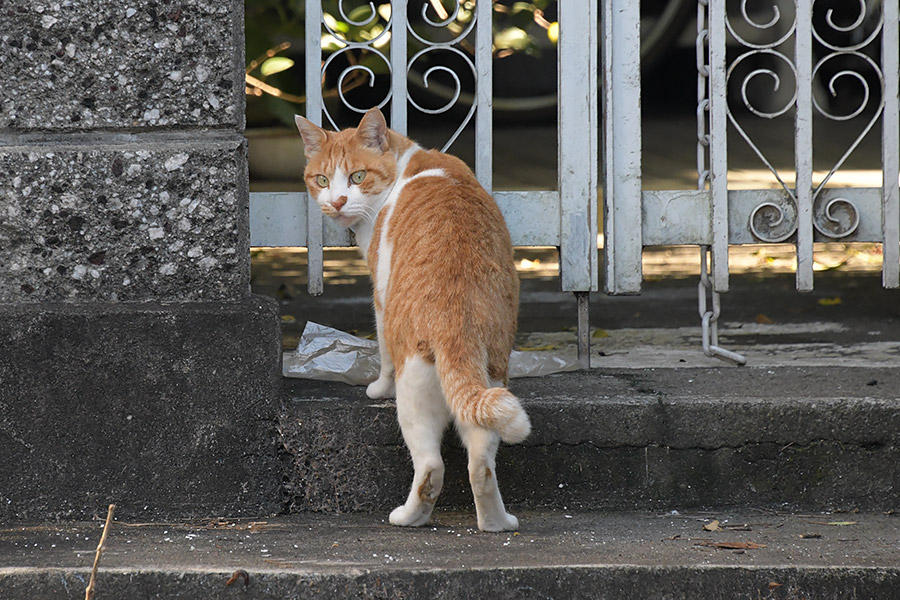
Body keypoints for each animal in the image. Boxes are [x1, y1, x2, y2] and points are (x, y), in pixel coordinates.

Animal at [296, 106, 536, 528]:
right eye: (322, 179)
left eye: (357, 177)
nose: (337, 202)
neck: (407, 163)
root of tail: (457, 321)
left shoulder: (381, 293)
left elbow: (382, 353)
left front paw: (377, 388)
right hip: (489, 379)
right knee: (480, 461)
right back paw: (496, 522)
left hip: (414, 391)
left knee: (430, 465)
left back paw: (408, 517)